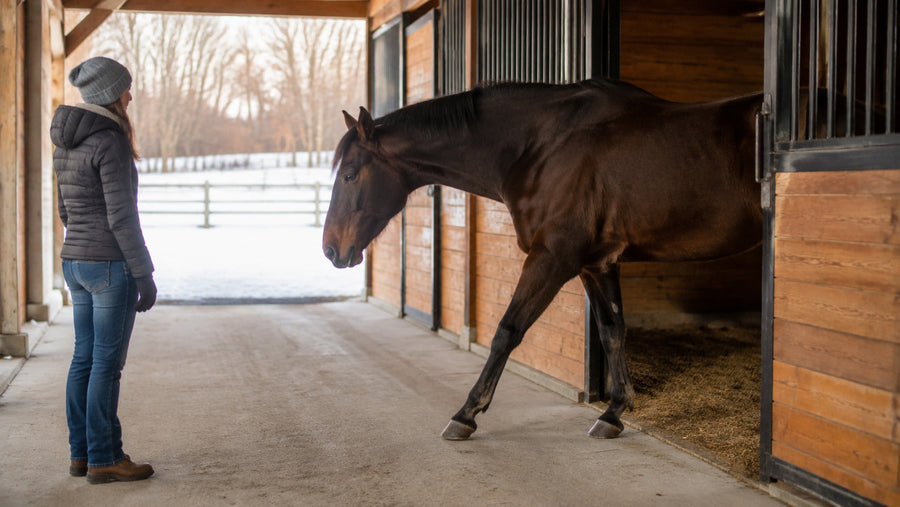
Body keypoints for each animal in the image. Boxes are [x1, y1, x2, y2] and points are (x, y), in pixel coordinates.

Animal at [322, 78, 763, 440]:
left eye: (349, 174)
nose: (330, 249)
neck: (540, 147)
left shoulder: (552, 258)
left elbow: (507, 330)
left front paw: (466, 413)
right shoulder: (596, 264)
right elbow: (612, 330)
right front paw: (613, 413)